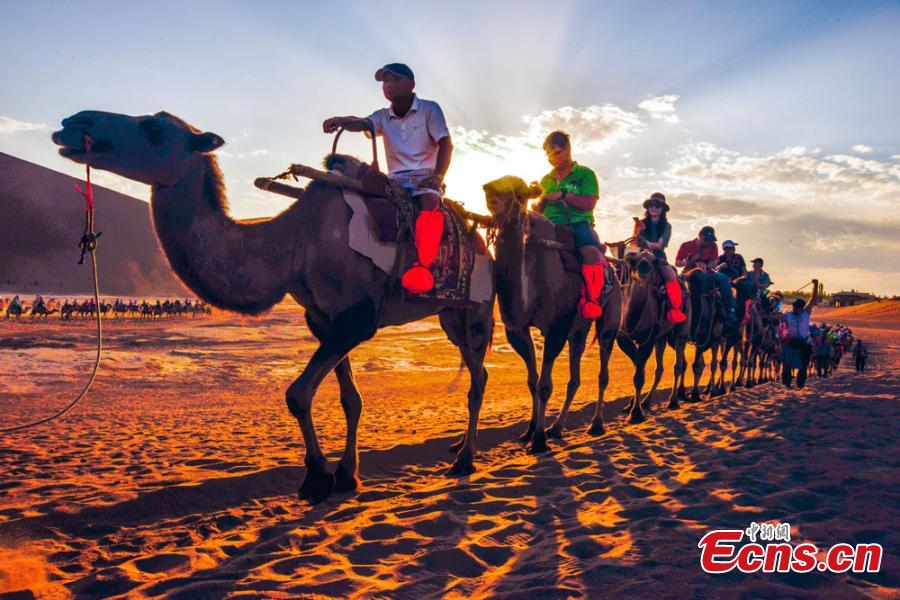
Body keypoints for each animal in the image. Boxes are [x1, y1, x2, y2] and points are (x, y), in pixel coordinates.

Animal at [51, 110, 492, 504]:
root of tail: (477, 235)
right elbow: (350, 400)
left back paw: (465, 460)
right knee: (474, 370)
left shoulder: (357, 320)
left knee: (479, 376)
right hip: (449, 316)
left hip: (477, 311)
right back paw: (457, 448)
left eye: (153, 129)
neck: (294, 243)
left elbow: (297, 395)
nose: (72, 123)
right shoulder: (323, 319)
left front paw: (317, 479)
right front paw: (346, 476)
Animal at [482, 176, 624, 448]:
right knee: (575, 376)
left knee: (603, 372)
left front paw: (538, 440)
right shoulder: (517, 330)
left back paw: (596, 424)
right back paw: (557, 428)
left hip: (609, 320)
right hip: (579, 328)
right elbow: (532, 381)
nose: (489, 190)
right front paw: (529, 431)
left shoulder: (557, 328)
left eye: (520, 190)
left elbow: (545, 385)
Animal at [616, 251, 692, 424]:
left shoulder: (648, 340)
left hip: (680, 332)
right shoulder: (625, 339)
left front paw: (635, 413)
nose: (643, 268)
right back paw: (647, 401)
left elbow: (639, 376)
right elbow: (638, 369)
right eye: (633, 261)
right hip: (663, 338)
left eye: (654, 262)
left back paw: (673, 401)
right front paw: (631, 405)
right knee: (662, 368)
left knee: (678, 364)